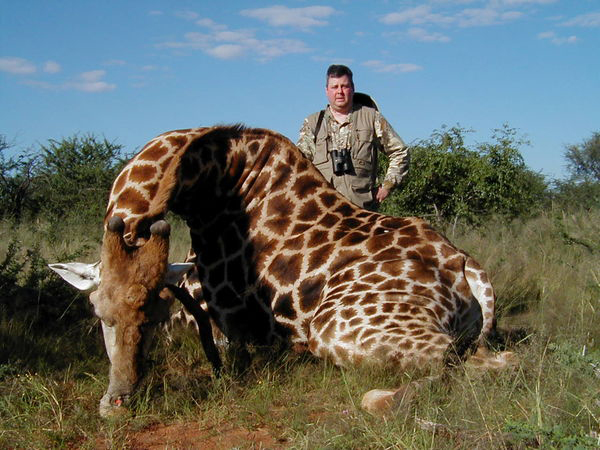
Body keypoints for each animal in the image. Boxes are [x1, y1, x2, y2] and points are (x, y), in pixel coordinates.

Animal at [51, 125, 512, 417]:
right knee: (491, 358)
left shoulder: (223, 325)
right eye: (100, 313)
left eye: (154, 317)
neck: (210, 192)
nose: (117, 403)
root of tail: (467, 265)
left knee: (455, 361)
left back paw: (373, 397)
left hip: (341, 325)